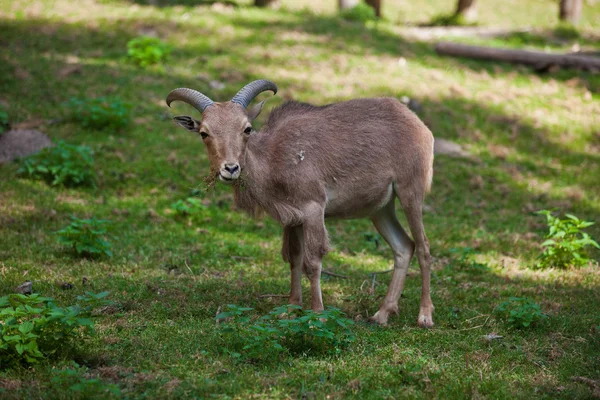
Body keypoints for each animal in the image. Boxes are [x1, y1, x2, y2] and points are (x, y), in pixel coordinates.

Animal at [166, 79, 434, 326]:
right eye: (204, 133)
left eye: (247, 129)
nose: (230, 168)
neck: (274, 158)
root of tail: (420, 126)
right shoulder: (292, 218)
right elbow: (293, 257)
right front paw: (291, 308)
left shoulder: (313, 208)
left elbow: (312, 261)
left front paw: (317, 315)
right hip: (380, 208)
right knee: (403, 247)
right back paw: (382, 314)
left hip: (410, 190)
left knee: (423, 247)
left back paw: (424, 315)